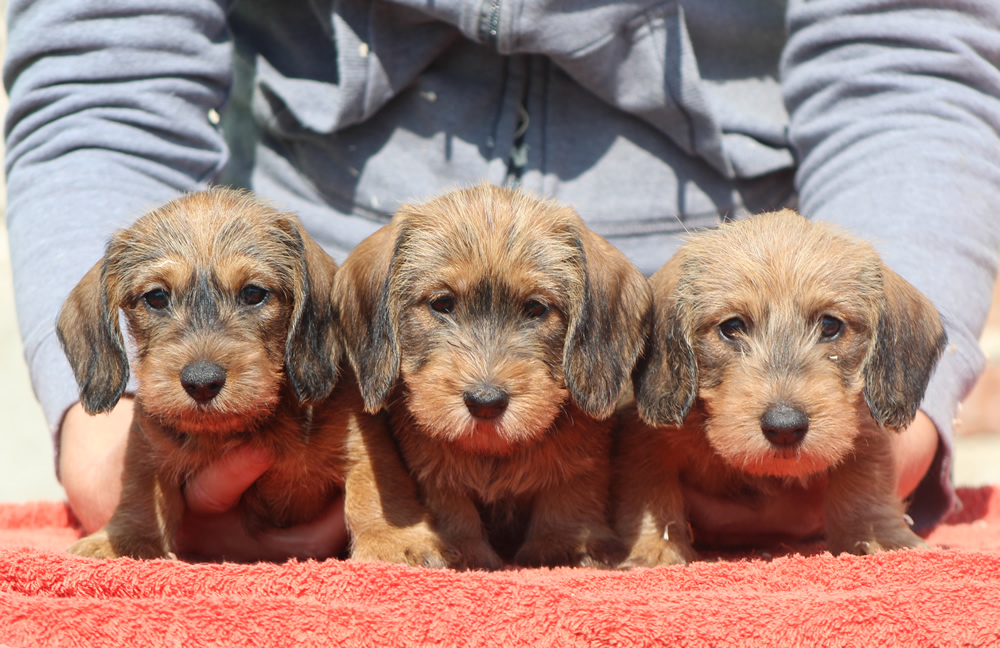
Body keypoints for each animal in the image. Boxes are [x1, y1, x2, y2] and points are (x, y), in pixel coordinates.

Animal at [57, 187, 442, 568]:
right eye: (156, 297)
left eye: (253, 293)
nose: (201, 383)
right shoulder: (147, 443)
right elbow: (139, 491)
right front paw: (122, 538)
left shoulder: (363, 440)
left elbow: (375, 487)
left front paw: (392, 539)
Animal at [332, 185, 652, 568]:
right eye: (441, 303)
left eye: (536, 308)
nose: (485, 402)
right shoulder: (431, 466)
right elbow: (450, 501)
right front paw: (464, 549)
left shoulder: (585, 454)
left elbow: (572, 488)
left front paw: (565, 543)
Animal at [612, 210, 948, 564]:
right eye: (732, 327)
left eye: (831, 325)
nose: (785, 427)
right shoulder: (645, 441)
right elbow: (652, 490)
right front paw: (655, 547)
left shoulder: (863, 430)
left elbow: (864, 485)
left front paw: (879, 537)